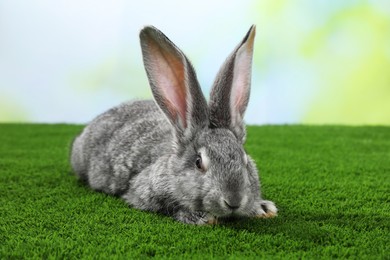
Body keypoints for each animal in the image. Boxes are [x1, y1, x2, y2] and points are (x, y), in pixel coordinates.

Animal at [70, 25, 278, 224]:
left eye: (245, 160)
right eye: (198, 162)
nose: (234, 201)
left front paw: (262, 208)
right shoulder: (143, 192)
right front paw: (201, 218)